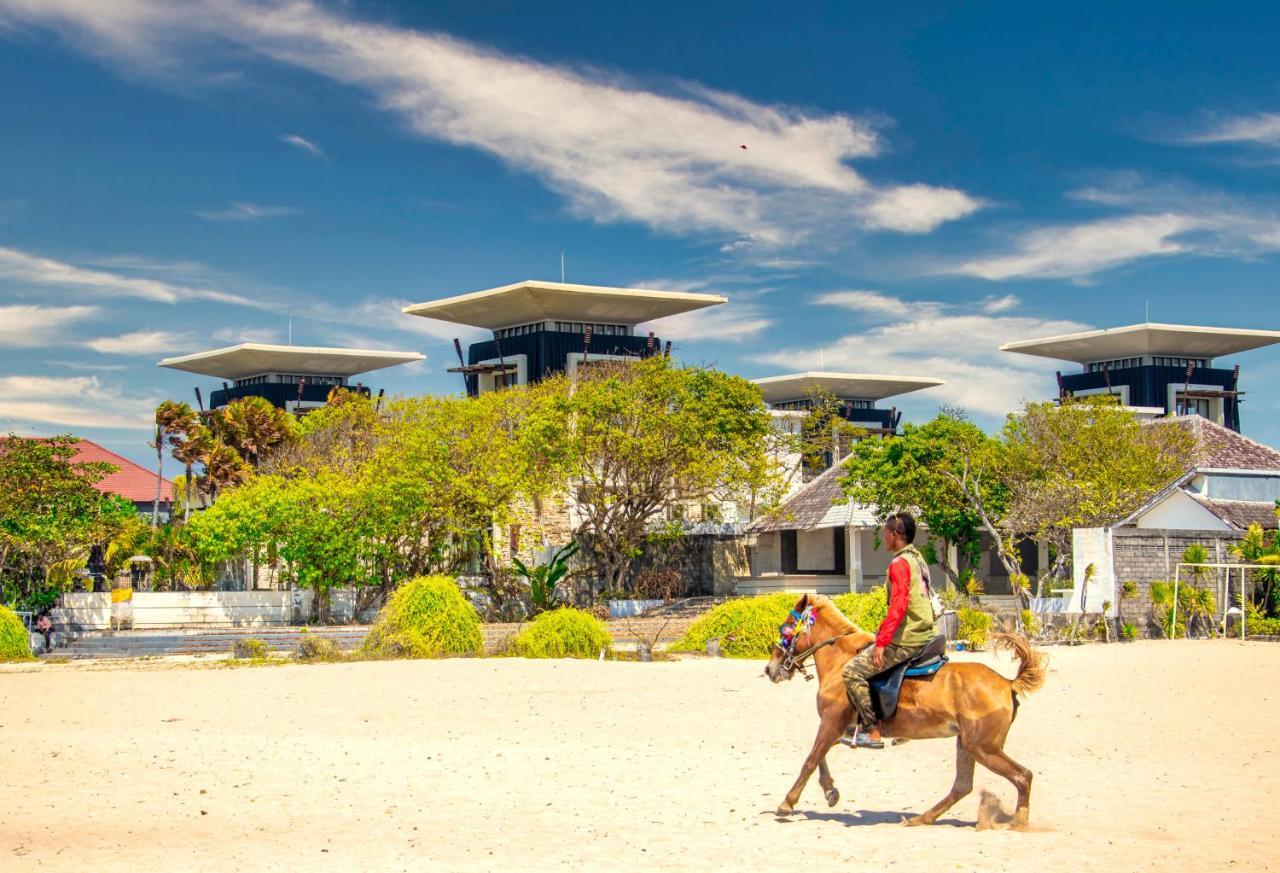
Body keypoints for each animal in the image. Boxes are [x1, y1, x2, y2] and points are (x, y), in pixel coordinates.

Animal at [762, 591, 1044, 824]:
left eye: (785, 629)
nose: (769, 669)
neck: (840, 660)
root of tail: (1007, 682)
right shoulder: (835, 726)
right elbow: (819, 758)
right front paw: (830, 791)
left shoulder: (831, 722)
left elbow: (811, 760)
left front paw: (787, 803)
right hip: (968, 743)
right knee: (963, 785)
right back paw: (923, 819)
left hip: (984, 748)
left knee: (1022, 776)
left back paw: (1018, 822)